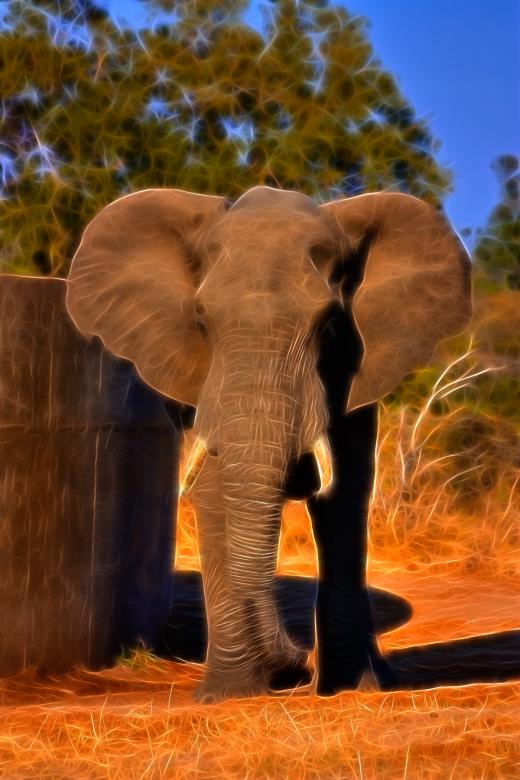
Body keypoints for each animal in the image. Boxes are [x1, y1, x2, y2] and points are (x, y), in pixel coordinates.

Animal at [66, 185, 472, 702]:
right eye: (201, 320)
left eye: (330, 324)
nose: (291, 664)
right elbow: (214, 488)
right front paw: (229, 696)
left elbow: (344, 495)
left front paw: (352, 688)